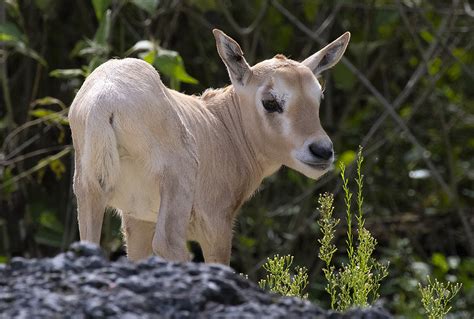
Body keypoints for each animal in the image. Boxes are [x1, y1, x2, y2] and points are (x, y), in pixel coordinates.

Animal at [68, 29, 350, 264]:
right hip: (178, 180)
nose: (322, 151)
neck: (220, 124)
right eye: (270, 101)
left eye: (318, 95)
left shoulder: (137, 218)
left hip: (88, 191)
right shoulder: (217, 223)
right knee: (169, 243)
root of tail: (105, 99)